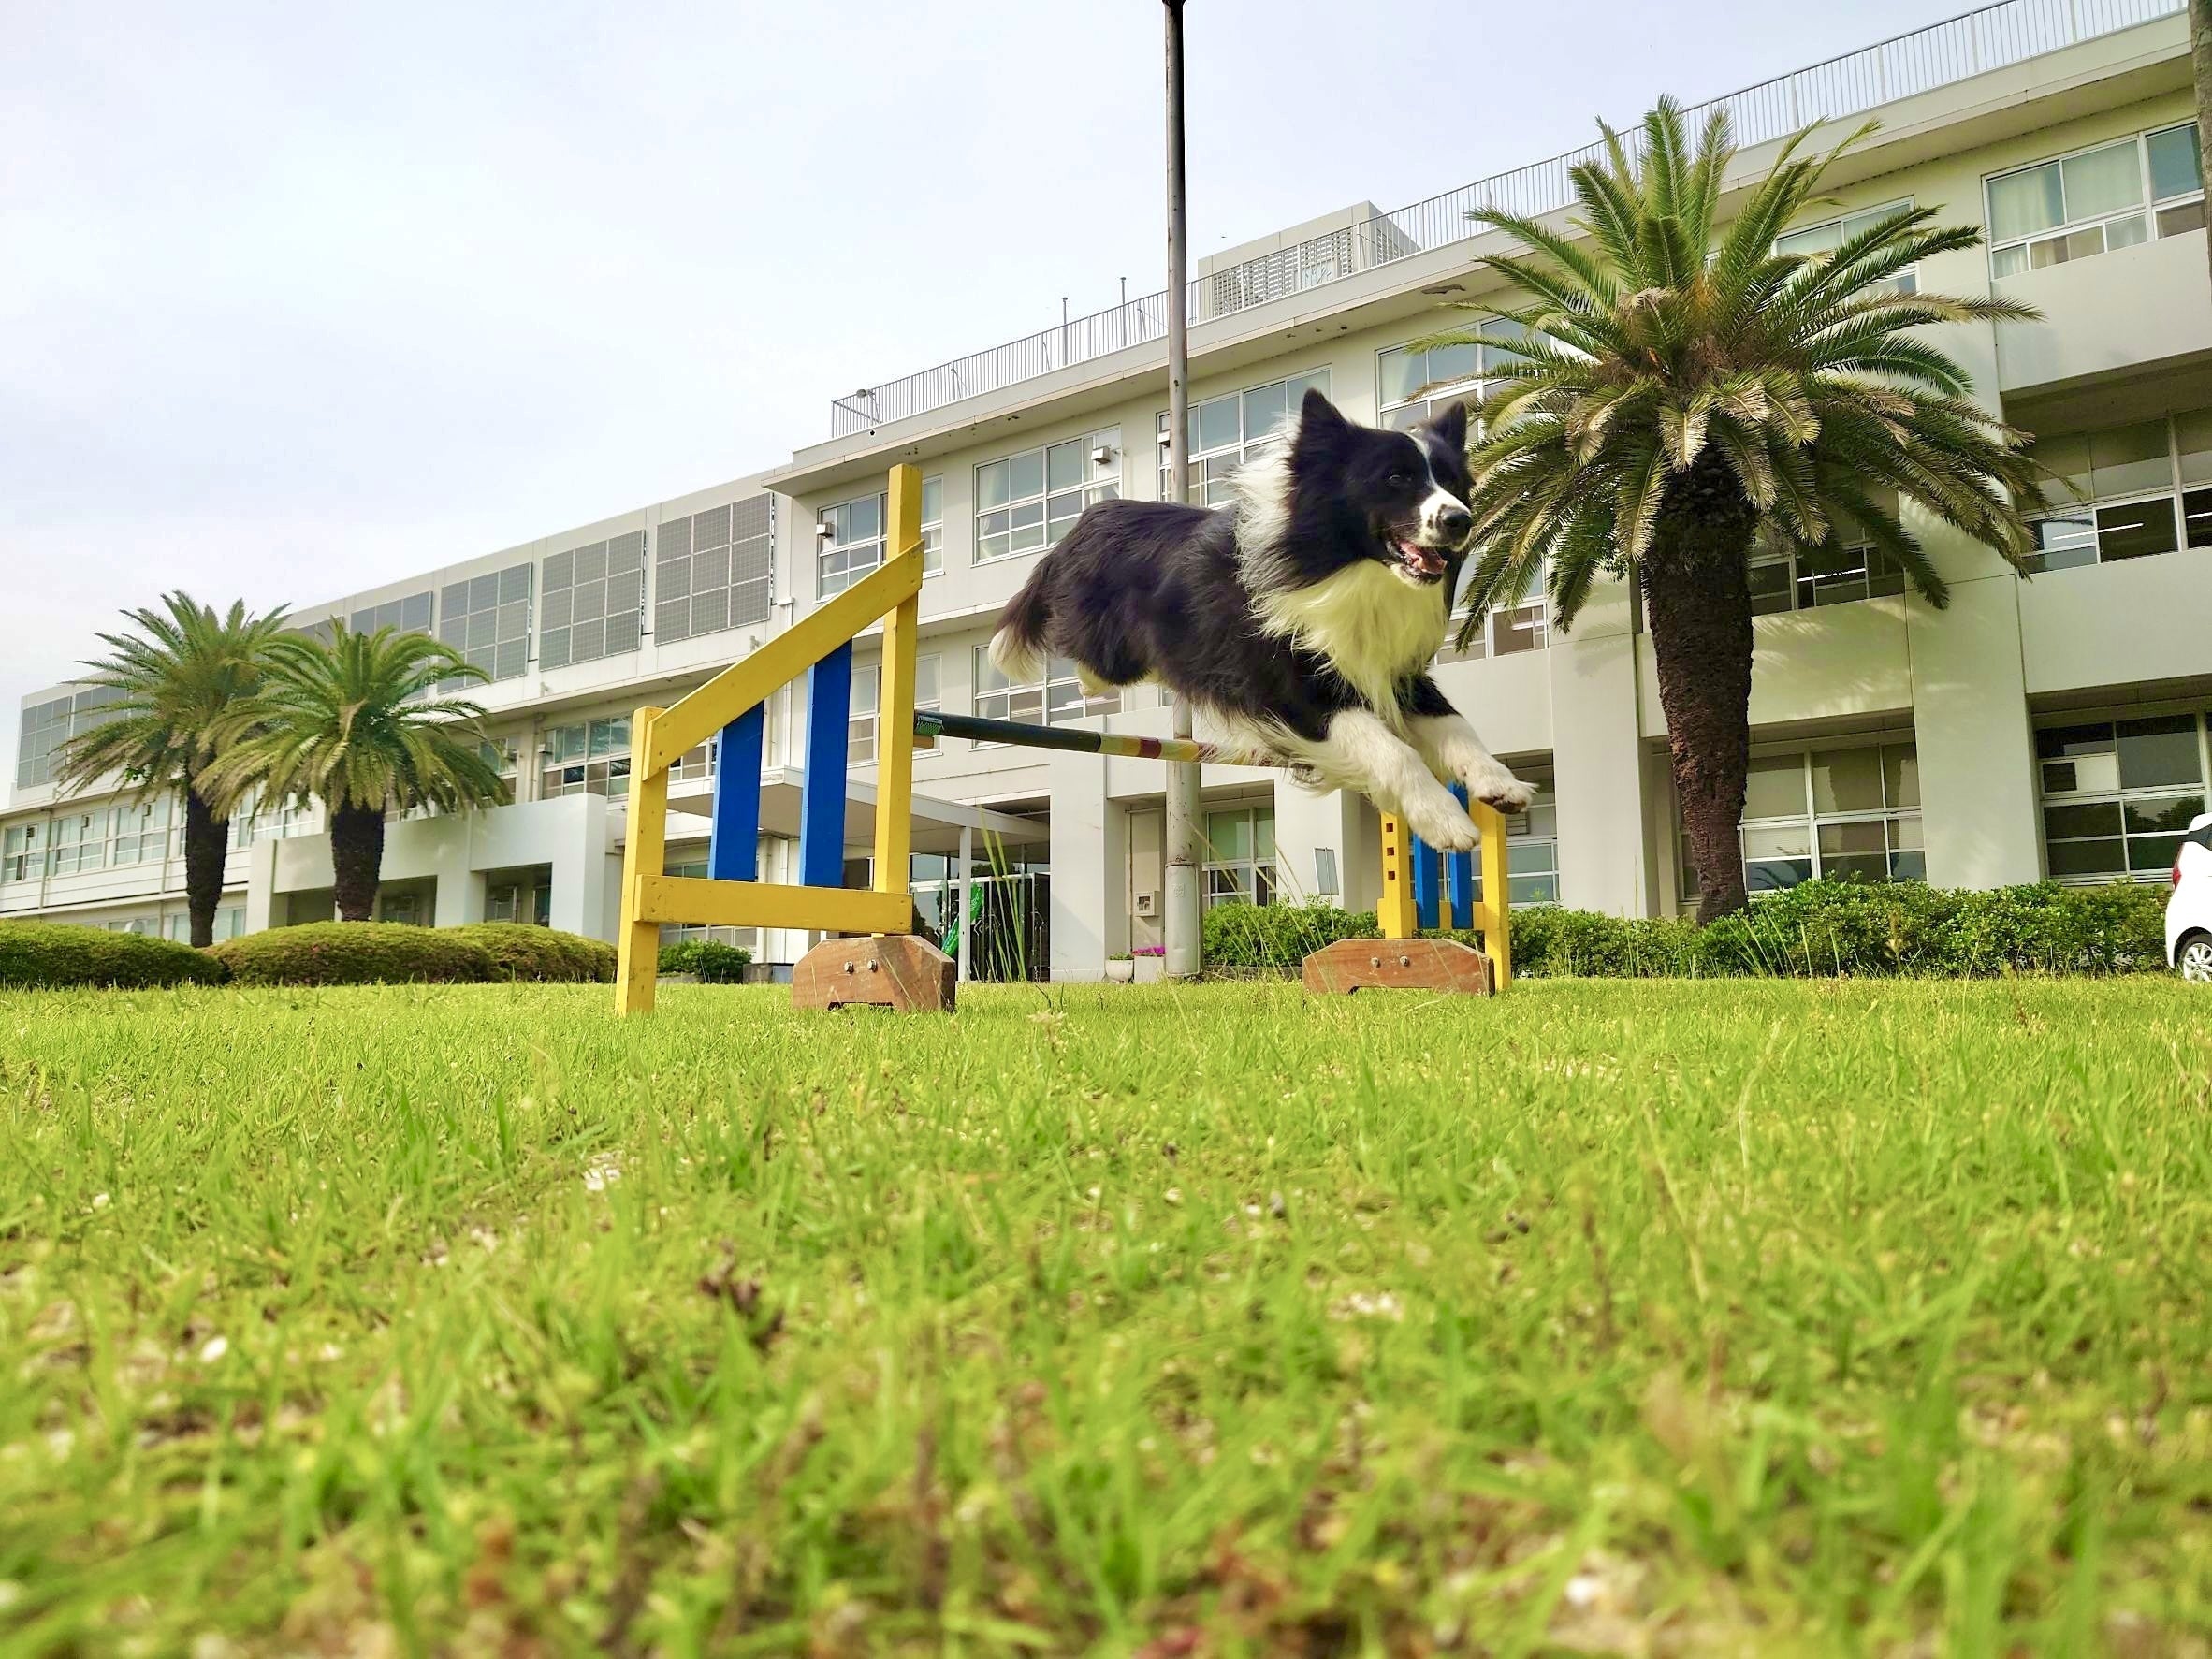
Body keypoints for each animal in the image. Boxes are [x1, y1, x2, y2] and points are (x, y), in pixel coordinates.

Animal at [988, 387, 1531, 852]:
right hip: (1111, 643)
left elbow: (1453, 722)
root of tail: (1080, 525)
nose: (1461, 520)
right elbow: (1392, 749)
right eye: (1396, 478)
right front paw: (1444, 821)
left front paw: (1500, 783)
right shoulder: (1295, 684)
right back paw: (1086, 683)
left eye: (1452, 481)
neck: (1345, 568)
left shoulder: (1391, 665)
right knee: (1091, 656)